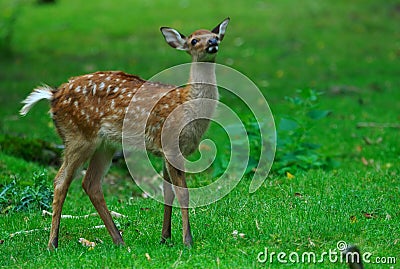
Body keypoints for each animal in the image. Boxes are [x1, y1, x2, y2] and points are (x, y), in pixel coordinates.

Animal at [20, 17, 230, 247]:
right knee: (61, 181)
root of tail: (53, 94)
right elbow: (182, 193)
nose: (212, 42)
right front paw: (187, 241)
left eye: (216, 36)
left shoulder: (167, 150)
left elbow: (168, 192)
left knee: (90, 183)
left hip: (105, 145)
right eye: (193, 40)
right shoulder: (171, 146)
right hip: (78, 136)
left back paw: (118, 239)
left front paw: (165, 237)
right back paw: (53, 243)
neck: (187, 106)